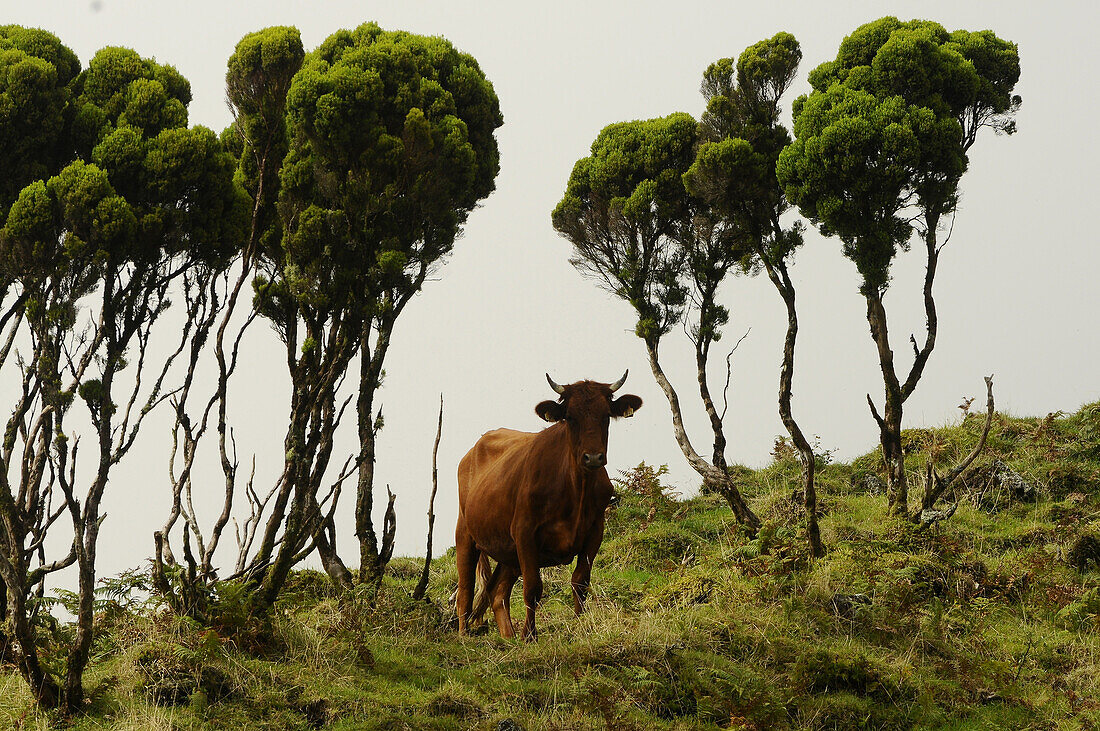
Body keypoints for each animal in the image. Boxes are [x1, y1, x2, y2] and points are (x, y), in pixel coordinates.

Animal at [457, 371, 642, 637]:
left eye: (606, 415)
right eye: (569, 417)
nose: (593, 457)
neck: (576, 490)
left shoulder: (595, 530)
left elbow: (580, 581)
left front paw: (579, 626)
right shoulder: (524, 531)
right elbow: (533, 587)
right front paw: (530, 636)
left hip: (507, 551)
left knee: (497, 592)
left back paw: (509, 637)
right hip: (465, 533)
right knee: (465, 590)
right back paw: (463, 635)